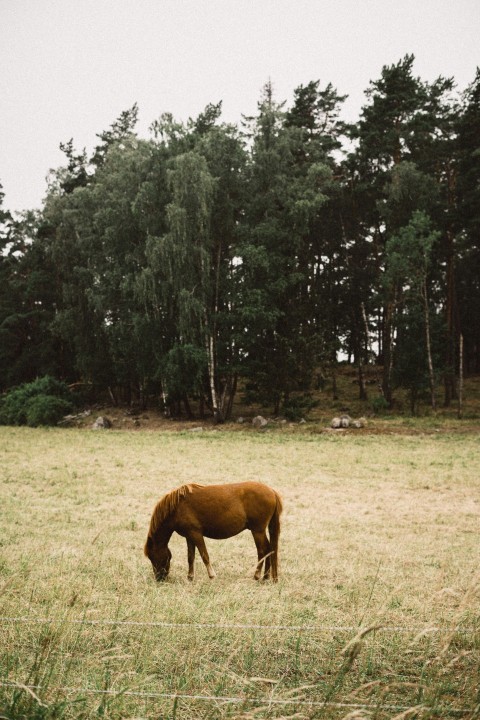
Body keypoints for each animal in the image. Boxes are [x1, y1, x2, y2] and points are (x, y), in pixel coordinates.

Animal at [144, 480, 284, 584]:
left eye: (153, 556)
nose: (159, 579)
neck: (177, 507)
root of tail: (272, 491)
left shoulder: (196, 534)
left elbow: (204, 555)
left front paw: (212, 576)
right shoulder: (189, 536)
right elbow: (190, 557)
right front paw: (190, 578)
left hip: (257, 531)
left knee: (263, 550)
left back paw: (257, 575)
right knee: (269, 549)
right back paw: (266, 577)